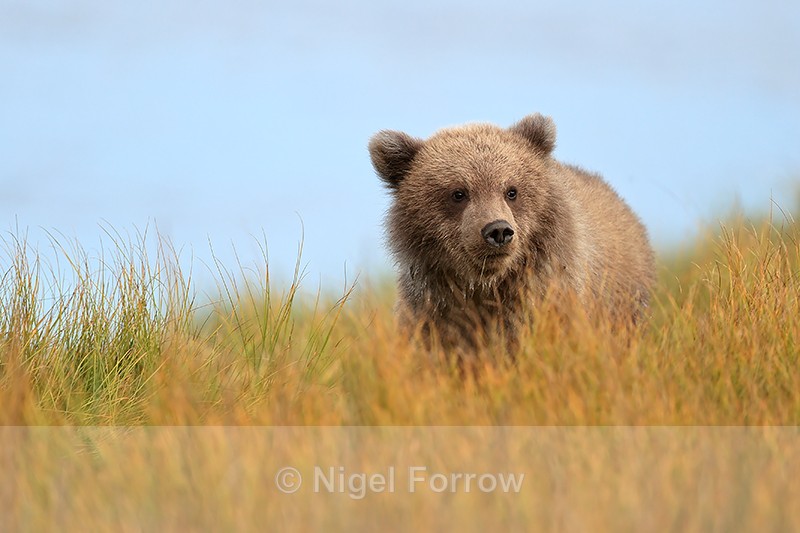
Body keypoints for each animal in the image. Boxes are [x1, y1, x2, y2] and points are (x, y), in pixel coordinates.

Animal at [368, 113, 656, 352]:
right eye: (458, 193)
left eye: (511, 190)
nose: (498, 230)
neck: (487, 286)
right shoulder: (432, 309)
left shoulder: (546, 293)